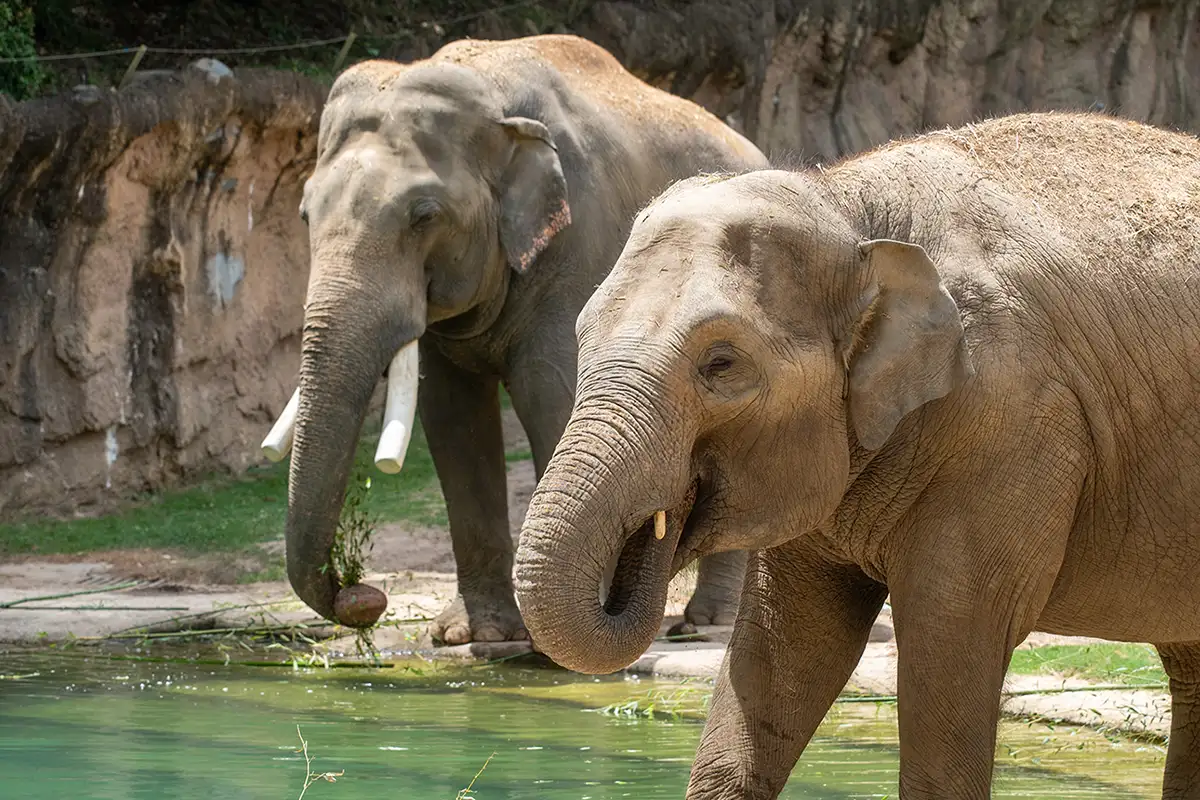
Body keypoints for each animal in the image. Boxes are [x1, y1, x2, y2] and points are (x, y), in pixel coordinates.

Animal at [265, 34, 767, 644]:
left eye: (423, 215)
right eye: (304, 213)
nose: (365, 596)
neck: (490, 96)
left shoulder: (579, 245)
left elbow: (549, 392)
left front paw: (561, 638)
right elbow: (451, 417)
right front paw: (474, 635)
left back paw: (705, 625)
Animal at [514, 112, 1200, 798]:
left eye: (721, 364)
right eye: (582, 336)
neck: (849, 208)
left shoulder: (1016, 424)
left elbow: (951, 638)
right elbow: (782, 649)